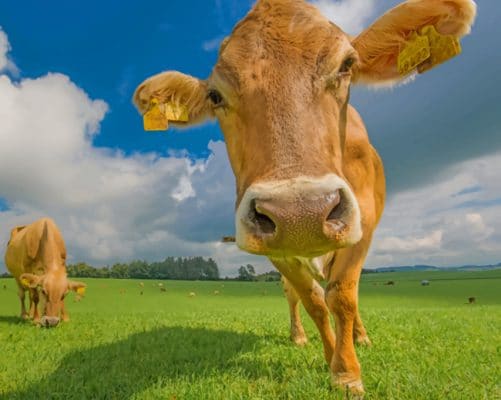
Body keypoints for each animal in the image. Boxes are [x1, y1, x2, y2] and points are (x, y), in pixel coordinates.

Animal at [134, 0, 476, 394]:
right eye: (215, 96)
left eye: (347, 65)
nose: (300, 213)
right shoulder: (275, 247)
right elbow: (313, 300)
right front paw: (332, 359)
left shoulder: (363, 222)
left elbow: (342, 295)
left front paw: (347, 372)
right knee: (295, 294)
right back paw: (301, 335)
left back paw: (360, 337)